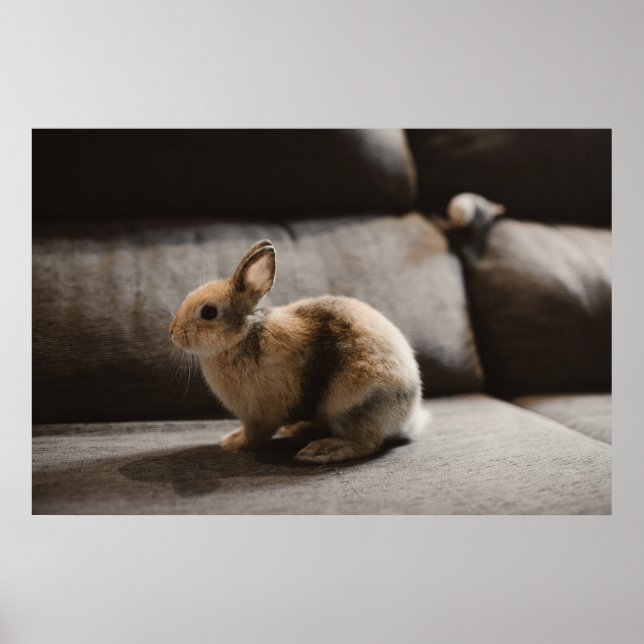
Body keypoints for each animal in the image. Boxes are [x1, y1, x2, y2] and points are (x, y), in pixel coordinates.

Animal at [169, 239, 429, 464]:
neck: (244, 336)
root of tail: (410, 415)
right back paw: (300, 430)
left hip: (351, 403)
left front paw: (233, 443)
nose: (172, 332)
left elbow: (255, 435)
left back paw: (320, 450)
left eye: (209, 312)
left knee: (367, 443)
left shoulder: (260, 415)